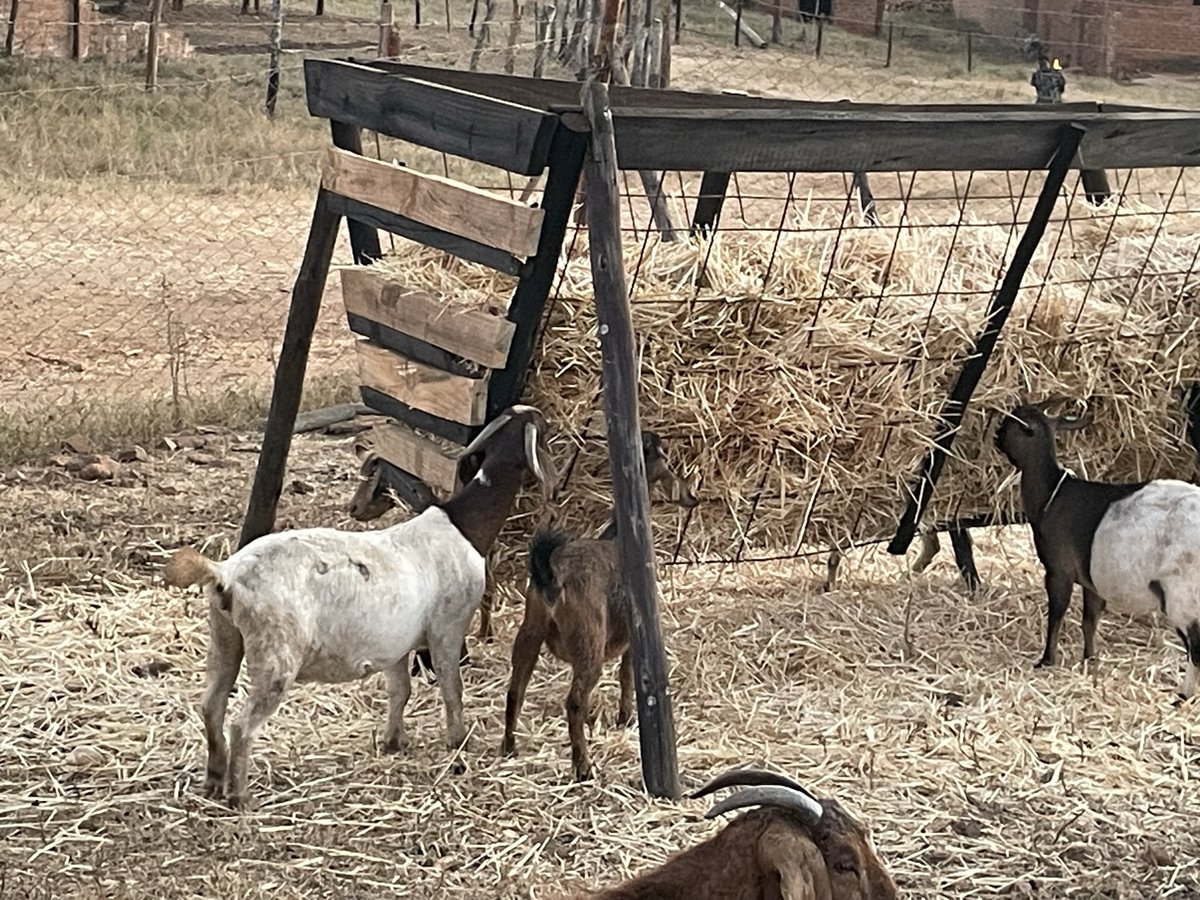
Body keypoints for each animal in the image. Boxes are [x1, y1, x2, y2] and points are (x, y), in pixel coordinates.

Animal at [162, 405, 557, 807]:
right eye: (542, 428)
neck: (464, 526)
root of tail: (226, 573)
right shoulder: (448, 626)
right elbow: (452, 686)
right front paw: (458, 740)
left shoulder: (397, 644)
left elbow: (400, 691)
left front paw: (394, 742)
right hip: (276, 652)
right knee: (242, 725)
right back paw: (239, 796)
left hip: (224, 638)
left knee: (211, 707)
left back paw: (214, 780)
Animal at [501, 431, 698, 781]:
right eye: (667, 460)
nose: (690, 495)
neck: (622, 536)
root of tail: (553, 576)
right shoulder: (636, 635)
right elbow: (627, 676)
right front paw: (625, 718)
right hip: (588, 640)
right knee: (575, 700)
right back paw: (583, 766)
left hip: (530, 630)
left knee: (516, 689)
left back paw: (509, 748)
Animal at [995, 399, 1200, 699]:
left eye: (1010, 424)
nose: (996, 436)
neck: (1051, 495)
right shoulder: (1091, 580)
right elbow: (1089, 620)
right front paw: (1089, 659)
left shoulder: (1059, 571)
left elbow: (1056, 615)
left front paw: (1046, 660)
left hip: (1180, 595)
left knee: (1195, 647)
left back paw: (1183, 695)